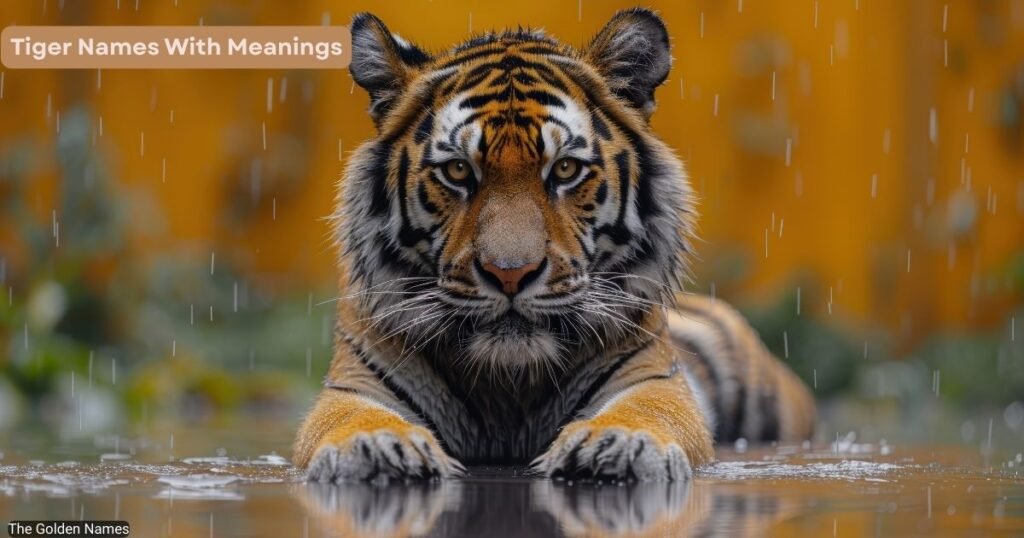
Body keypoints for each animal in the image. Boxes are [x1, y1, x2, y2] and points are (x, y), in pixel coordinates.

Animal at [293, 8, 815, 483]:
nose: (510, 274)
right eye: (458, 170)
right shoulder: (354, 384)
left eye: (565, 169)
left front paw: (616, 443)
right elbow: (351, 417)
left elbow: (649, 412)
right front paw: (377, 446)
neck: (508, 386)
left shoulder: (652, 379)